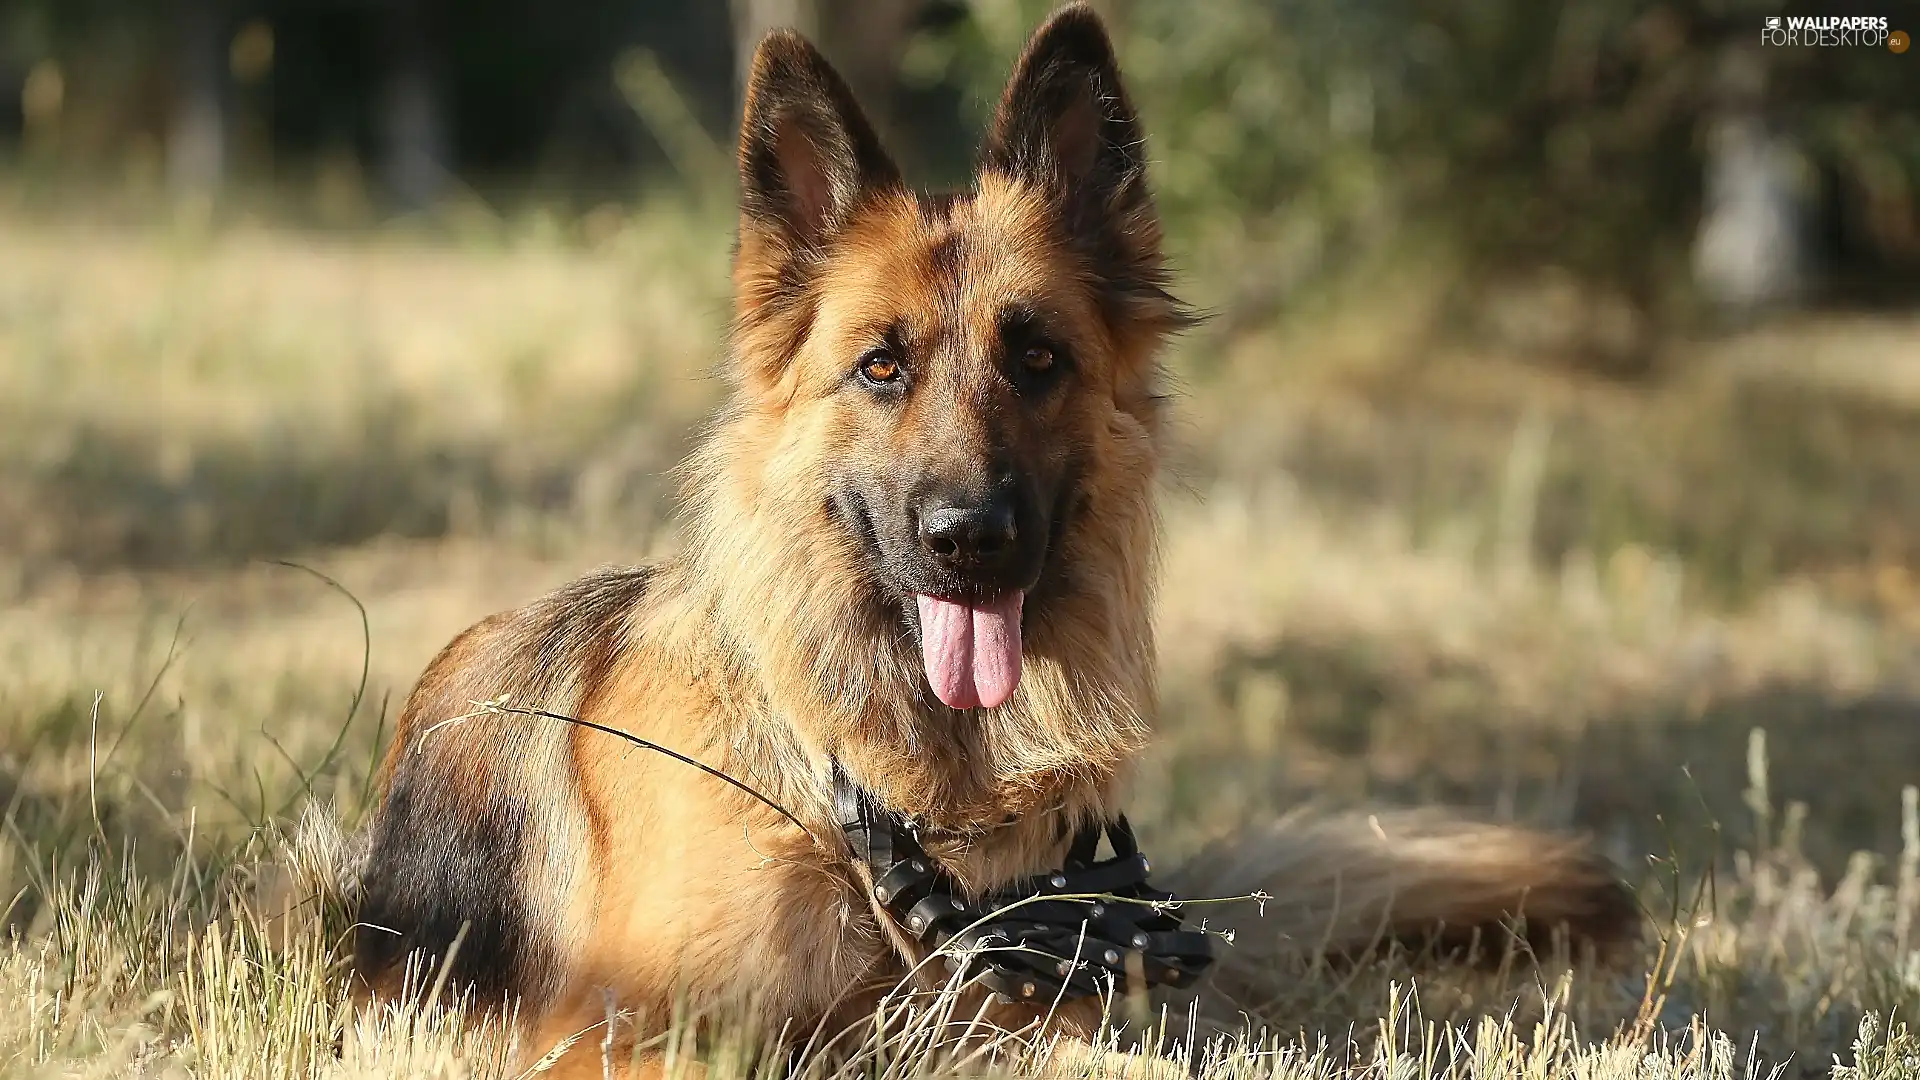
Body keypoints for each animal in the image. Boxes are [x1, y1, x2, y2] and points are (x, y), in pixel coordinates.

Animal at [341, 6, 1635, 1068]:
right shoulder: (618, 1033)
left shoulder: (1030, 1027)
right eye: (880, 366)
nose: (971, 539)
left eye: (1038, 358)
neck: (874, 805)